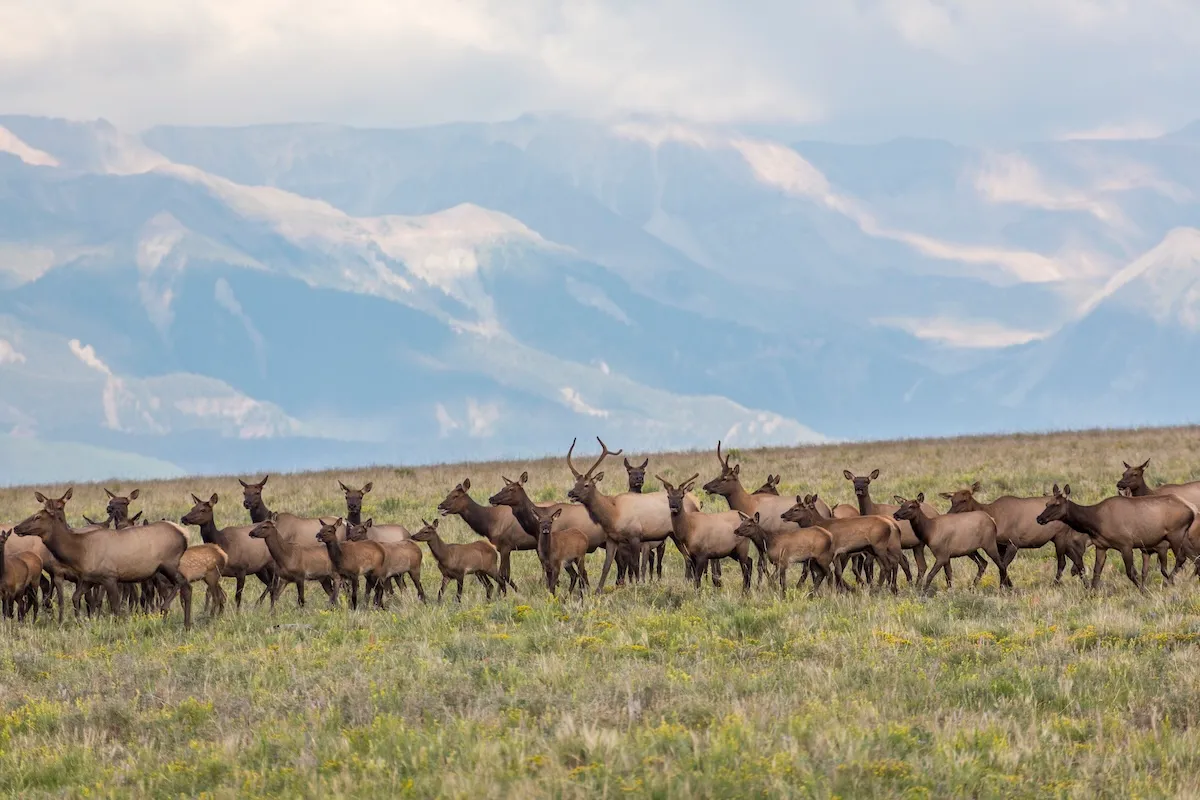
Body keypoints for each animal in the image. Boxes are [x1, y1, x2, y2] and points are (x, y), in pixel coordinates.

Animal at [12, 507, 194, 629]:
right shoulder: (89, 579)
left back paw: (166, 610)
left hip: (168, 563)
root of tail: (185, 534)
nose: (16, 527)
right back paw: (186, 624)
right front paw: (80, 622)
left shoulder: (110, 577)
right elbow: (76, 598)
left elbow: (115, 606)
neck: (80, 552)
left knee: (183, 583)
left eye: (37, 516)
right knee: (187, 587)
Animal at [566, 437, 699, 593]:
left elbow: (636, 565)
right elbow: (606, 566)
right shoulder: (612, 539)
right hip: (674, 535)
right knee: (688, 558)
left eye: (587, 484)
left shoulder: (635, 536)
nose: (571, 493)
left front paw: (638, 585)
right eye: (576, 482)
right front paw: (598, 591)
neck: (613, 515)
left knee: (689, 557)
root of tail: (696, 504)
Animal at [940, 482, 1088, 584]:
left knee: (1062, 562)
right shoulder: (1000, 544)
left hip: (1060, 537)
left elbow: (1003, 565)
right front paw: (1007, 587)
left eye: (964, 500)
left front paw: (1004, 588)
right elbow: (1001, 565)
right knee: (1076, 559)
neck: (994, 515)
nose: (949, 514)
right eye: (952, 500)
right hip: (1061, 539)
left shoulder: (1014, 543)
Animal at [1037, 484, 1196, 591]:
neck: (1095, 523)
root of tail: (1192, 508)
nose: (1039, 518)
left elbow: (1130, 573)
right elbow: (1097, 571)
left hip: (1176, 534)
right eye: (1047, 503)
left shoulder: (1126, 544)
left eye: (1056, 504)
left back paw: (1169, 582)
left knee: (1181, 559)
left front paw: (1143, 590)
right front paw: (1091, 593)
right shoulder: (1101, 546)